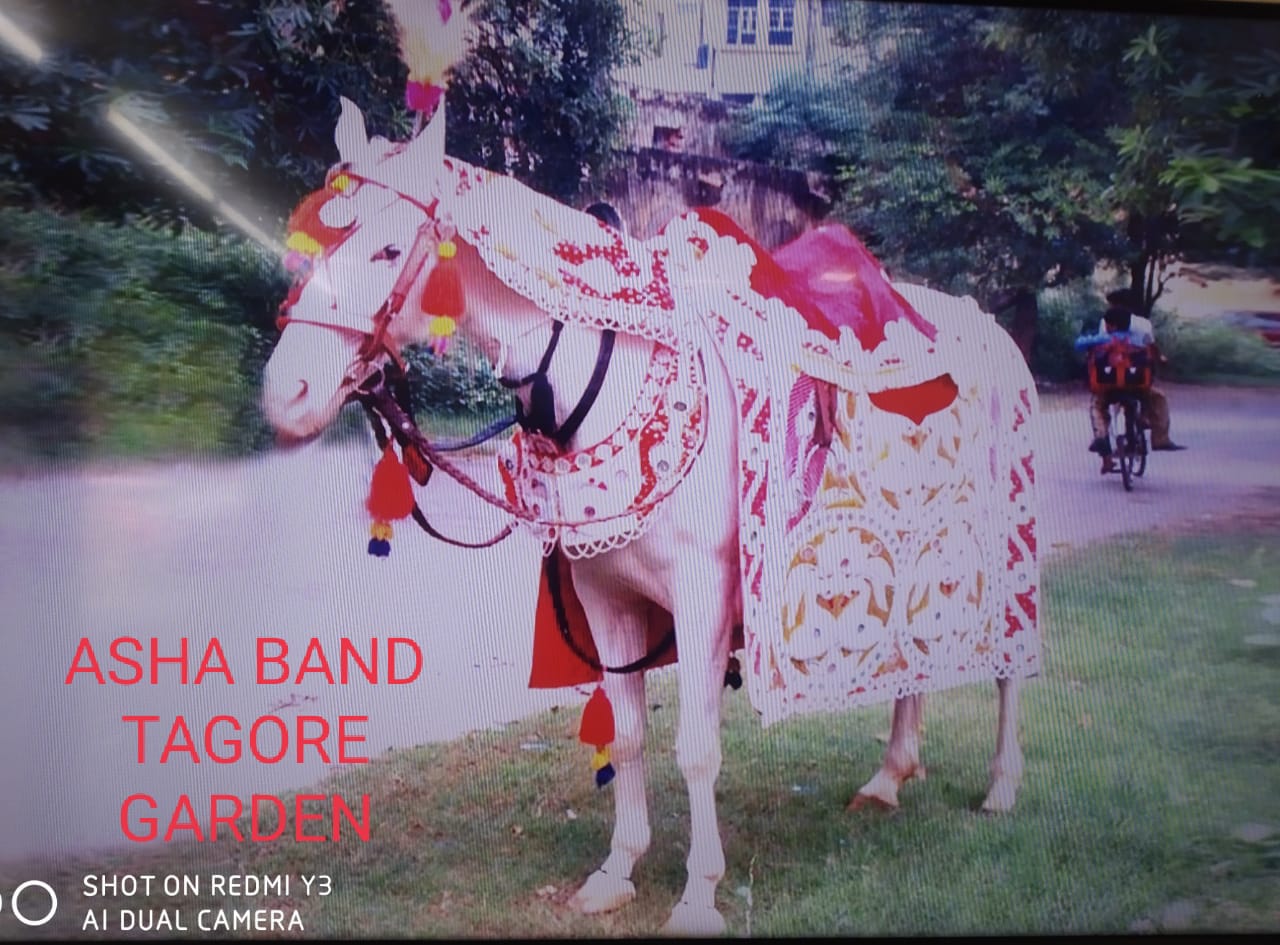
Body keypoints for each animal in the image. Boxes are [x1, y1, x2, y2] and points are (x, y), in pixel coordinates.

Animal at [261, 97, 1039, 936]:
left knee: (1009, 668)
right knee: (910, 666)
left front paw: (699, 892)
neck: (607, 383)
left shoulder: (702, 600)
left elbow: (696, 747)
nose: (286, 395)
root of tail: (987, 325)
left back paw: (1002, 784)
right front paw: (617, 870)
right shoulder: (607, 598)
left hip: (1006, 556)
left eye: (387, 248)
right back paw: (889, 776)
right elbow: (629, 735)